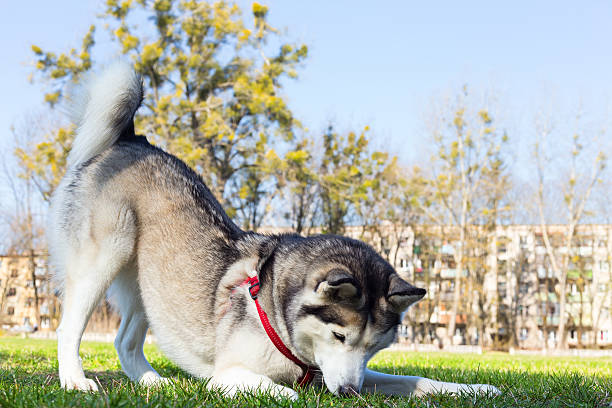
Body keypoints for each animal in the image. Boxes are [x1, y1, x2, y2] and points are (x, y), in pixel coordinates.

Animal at [46, 63, 498, 398]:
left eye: (374, 346)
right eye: (339, 335)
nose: (349, 393)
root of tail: (132, 140)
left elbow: (414, 379)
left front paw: (472, 388)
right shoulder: (229, 373)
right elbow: (283, 391)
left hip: (154, 283)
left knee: (124, 341)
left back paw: (155, 383)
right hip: (107, 254)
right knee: (68, 328)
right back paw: (76, 380)